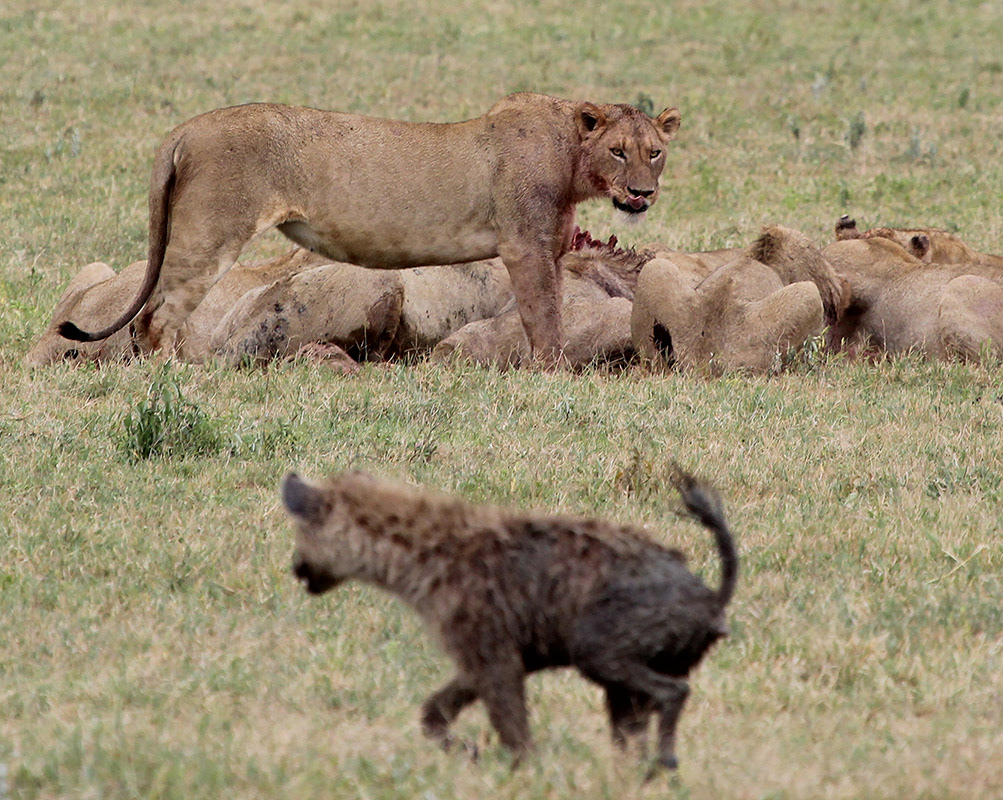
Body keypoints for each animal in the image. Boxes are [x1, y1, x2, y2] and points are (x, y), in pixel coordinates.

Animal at [58, 94, 681, 365]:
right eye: (618, 151)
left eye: (654, 152)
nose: (641, 194)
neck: (573, 157)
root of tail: (186, 128)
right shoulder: (524, 247)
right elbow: (545, 320)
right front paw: (554, 377)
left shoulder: (548, 249)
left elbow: (549, 315)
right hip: (209, 237)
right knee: (156, 317)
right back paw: (175, 377)